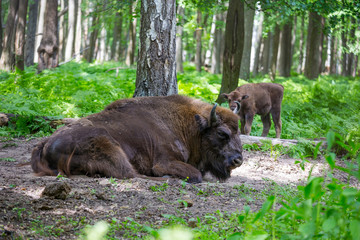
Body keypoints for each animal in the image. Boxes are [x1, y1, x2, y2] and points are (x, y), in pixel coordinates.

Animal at [31, 94, 243, 183]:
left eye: (238, 132)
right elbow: (196, 174)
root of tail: (45, 143)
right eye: (222, 133)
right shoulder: (164, 161)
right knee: (131, 174)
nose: (238, 160)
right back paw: (165, 179)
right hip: (111, 147)